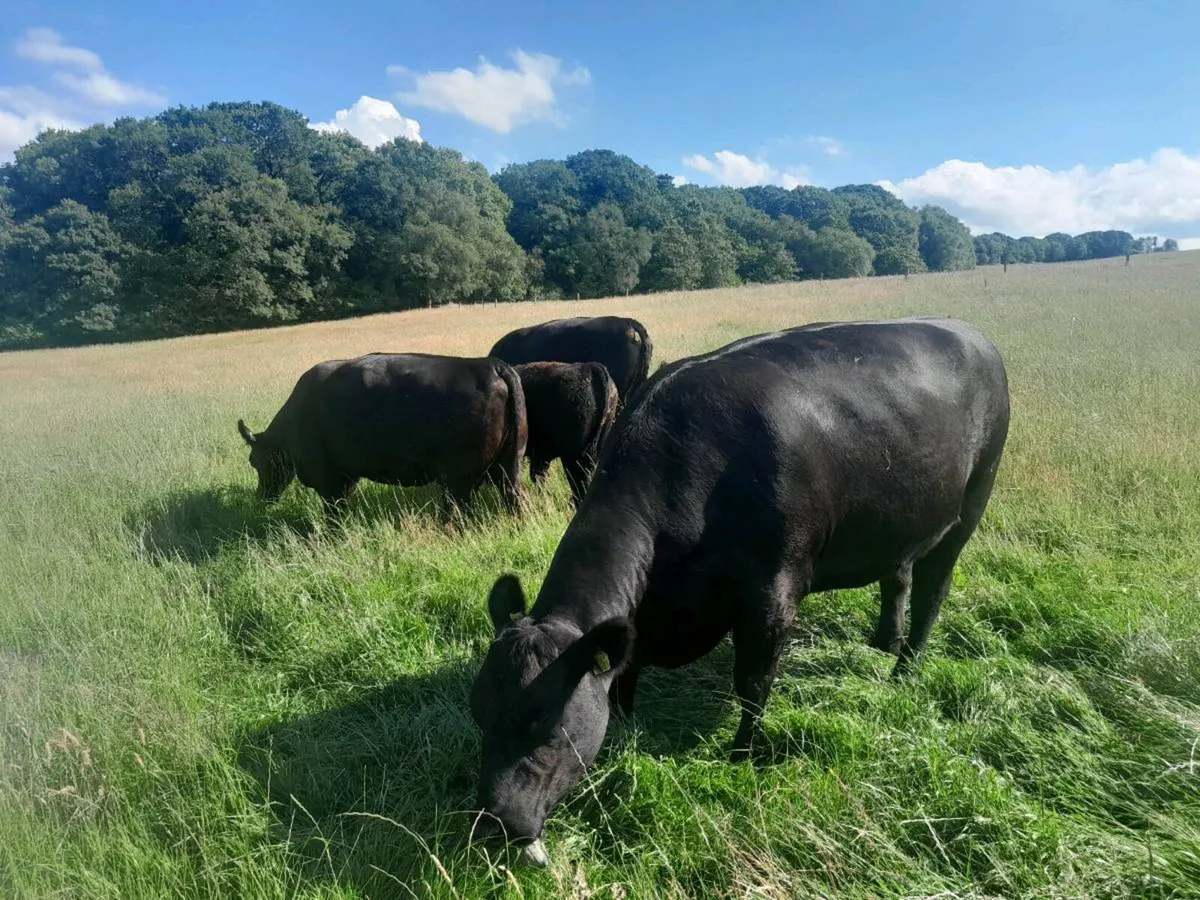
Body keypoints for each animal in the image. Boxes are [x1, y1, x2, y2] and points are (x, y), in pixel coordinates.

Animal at [236, 352, 527, 513]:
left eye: (254, 461)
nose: (262, 497)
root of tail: (489, 364)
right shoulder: (346, 478)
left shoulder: (329, 481)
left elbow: (333, 516)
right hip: (507, 468)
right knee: (515, 500)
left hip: (458, 480)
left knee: (458, 510)